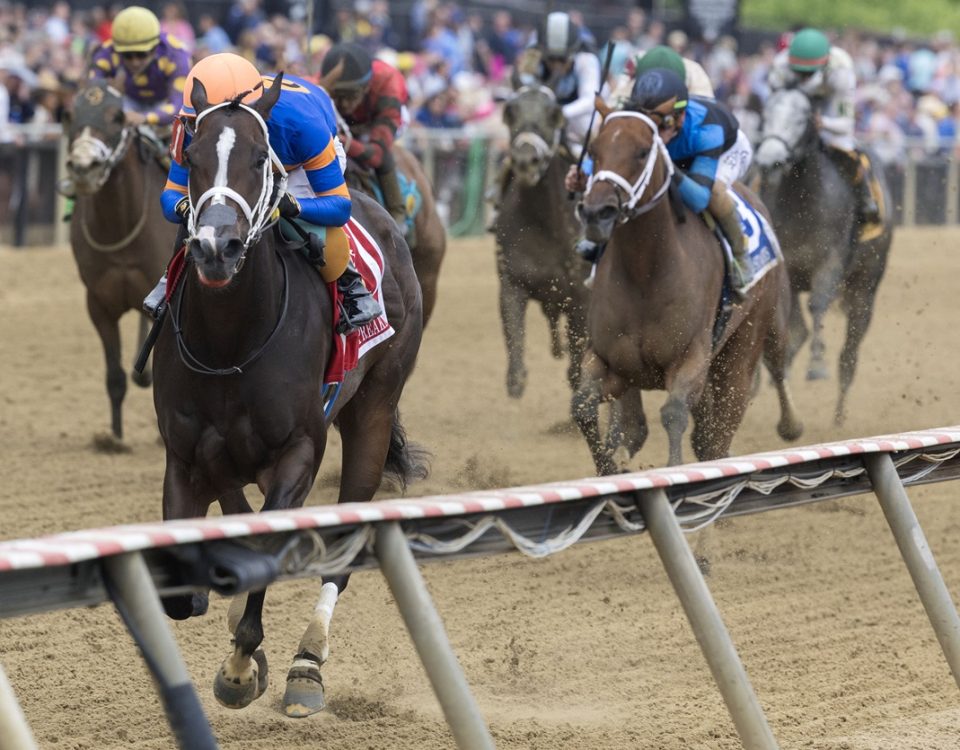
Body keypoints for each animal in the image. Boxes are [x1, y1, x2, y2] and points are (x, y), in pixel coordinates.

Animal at [64, 81, 173, 446]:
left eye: (118, 116)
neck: (121, 225)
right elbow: (115, 376)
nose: (84, 166)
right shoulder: (98, 303)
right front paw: (113, 438)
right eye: (69, 114)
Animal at [152, 73, 426, 720]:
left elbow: (271, 546)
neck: (231, 340)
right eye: (190, 158)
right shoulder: (188, 457)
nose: (216, 247)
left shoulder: (299, 452)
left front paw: (239, 668)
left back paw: (306, 665)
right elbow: (187, 588)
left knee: (343, 553)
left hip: (374, 413)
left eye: (260, 157)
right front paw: (221, 618)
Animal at [492, 86, 588, 402]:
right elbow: (515, 349)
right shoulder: (512, 281)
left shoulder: (581, 298)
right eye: (510, 111)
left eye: (553, 113)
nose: (526, 160)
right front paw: (516, 381)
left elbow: (578, 366)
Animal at [572, 104, 808, 476]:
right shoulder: (610, 362)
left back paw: (789, 425)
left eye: (643, 152)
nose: (597, 212)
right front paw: (612, 468)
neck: (645, 271)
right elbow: (583, 406)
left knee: (762, 377)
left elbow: (673, 413)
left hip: (753, 335)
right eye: (593, 150)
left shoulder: (691, 356)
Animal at [752, 88, 896, 426]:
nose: (769, 160)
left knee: (849, 354)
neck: (800, 203)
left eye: (803, 117)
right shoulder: (787, 271)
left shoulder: (829, 263)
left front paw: (817, 364)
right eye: (766, 112)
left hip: (865, 286)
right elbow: (791, 331)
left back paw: (839, 416)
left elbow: (818, 305)